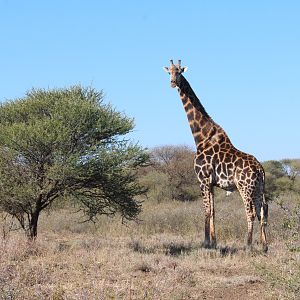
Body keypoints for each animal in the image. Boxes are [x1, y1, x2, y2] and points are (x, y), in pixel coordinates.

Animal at [163, 59, 268, 252]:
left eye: (180, 72)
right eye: (169, 72)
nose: (173, 83)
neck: (201, 137)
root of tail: (261, 170)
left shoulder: (202, 179)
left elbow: (205, 211)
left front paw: (205, 243)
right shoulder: (211, 183)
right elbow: (213, 211)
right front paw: (214, 242)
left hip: (244, 187)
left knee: (250, 212)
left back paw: (248, 245)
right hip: (258, 188)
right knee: (261, 212)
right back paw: (264, 247)